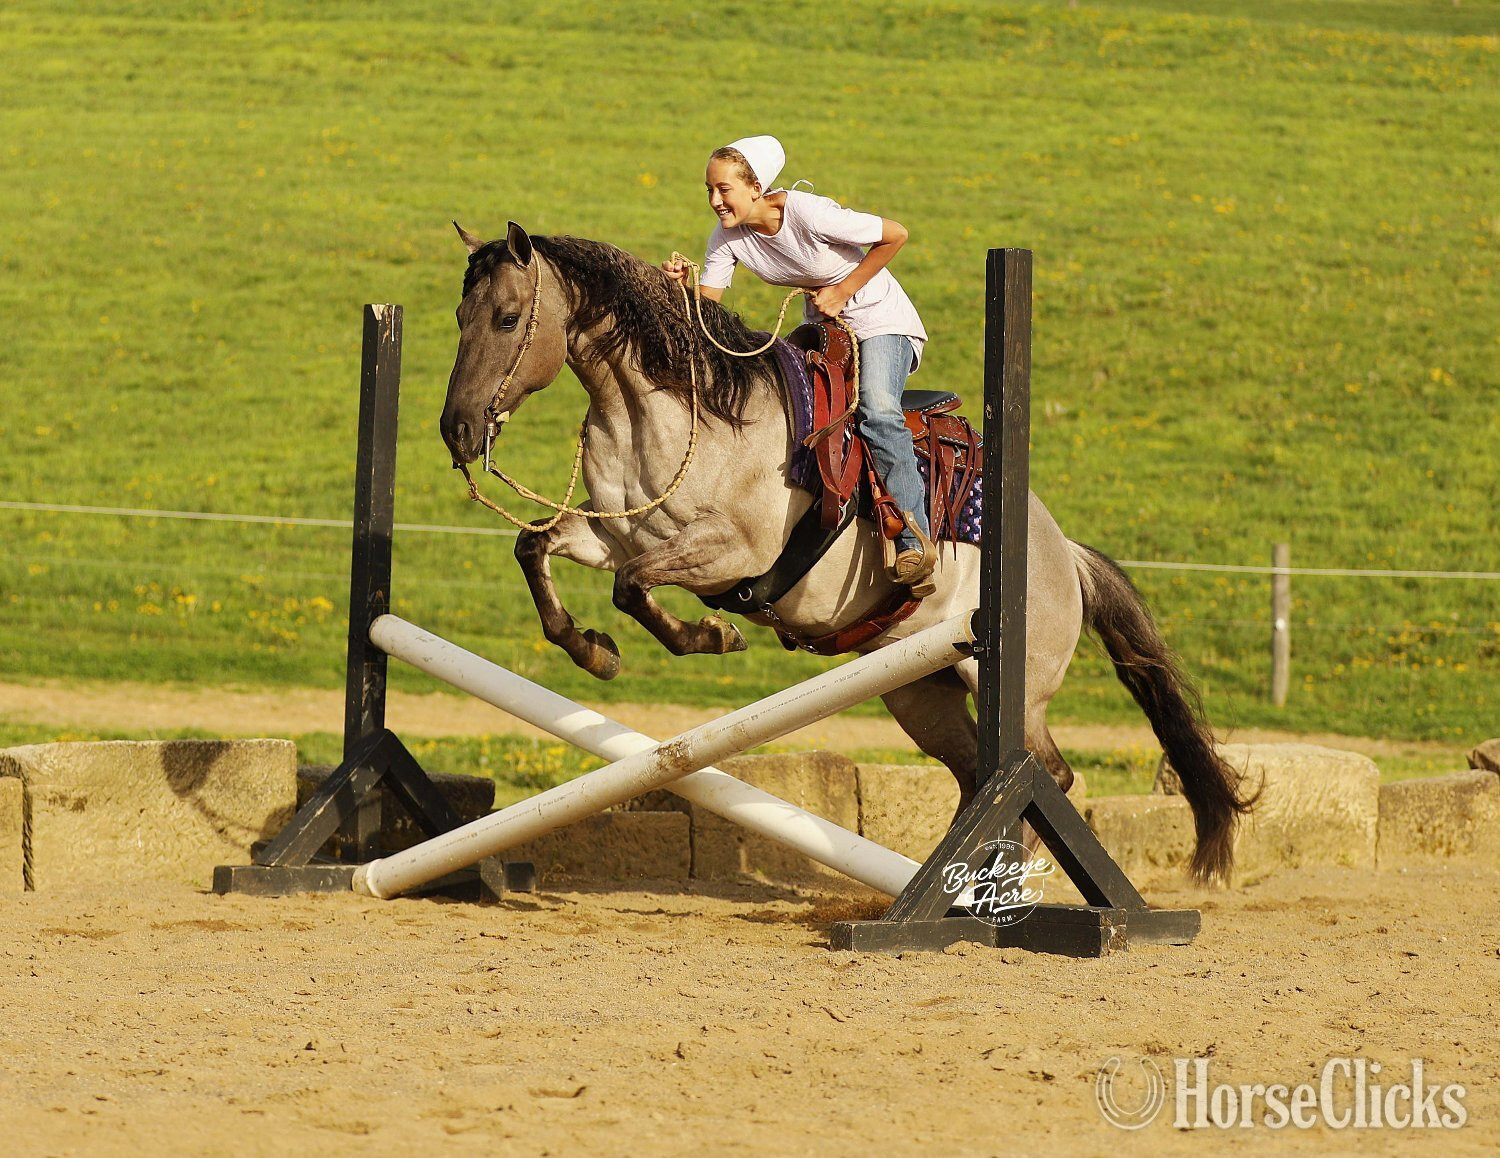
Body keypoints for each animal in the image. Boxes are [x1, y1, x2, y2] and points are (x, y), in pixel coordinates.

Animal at [439, 221, 1252, 883]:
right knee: (974, 776)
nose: (457, 430)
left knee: (1046, 774)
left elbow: (634, 588)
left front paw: (709, 636)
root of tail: (1063, 553)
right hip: (920, 692)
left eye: (507, 318)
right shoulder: (614, 532)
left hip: (1009, 688)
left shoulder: (728, 552)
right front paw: (594, 651)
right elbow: (537, 549)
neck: (671, 413)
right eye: (458, 316)